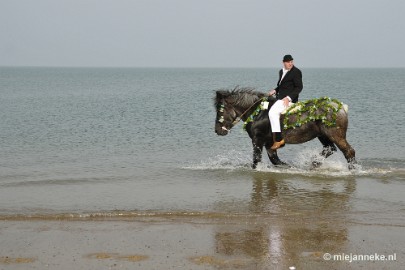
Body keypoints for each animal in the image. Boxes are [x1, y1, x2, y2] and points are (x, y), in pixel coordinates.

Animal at [213, 87, 356, 170]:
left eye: (220, 110)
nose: (217, 130)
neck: (259, 112)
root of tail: (340, 107)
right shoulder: (269, 143)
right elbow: (276, 161)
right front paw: (291, 168)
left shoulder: (257, 140)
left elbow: (256, 161)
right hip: (323, 135)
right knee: (329, 149)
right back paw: (313, 163)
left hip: (335, 135)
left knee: (348, 152)